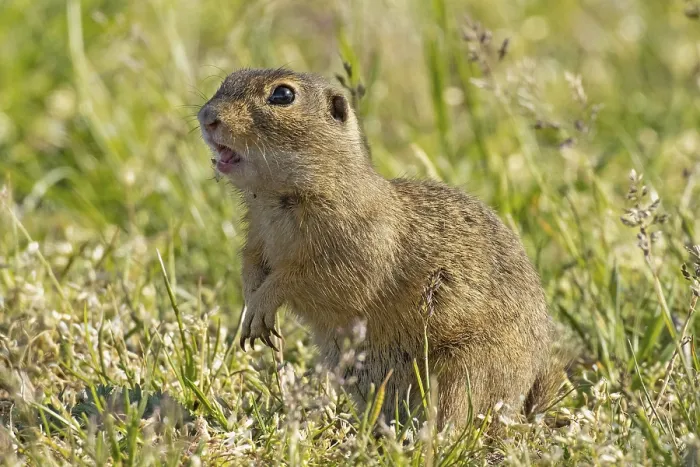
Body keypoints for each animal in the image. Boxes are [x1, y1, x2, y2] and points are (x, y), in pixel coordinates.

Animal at [197, 68, 563, 430]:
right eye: (227, 79)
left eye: (283, 95)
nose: (207, 116)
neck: (279, 198)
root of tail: (520, 406)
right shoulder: (257, 238)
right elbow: (251, 266)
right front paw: (250, 309)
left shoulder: (351, 251)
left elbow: (303, 280)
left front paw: (262, 306)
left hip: (461, 373)